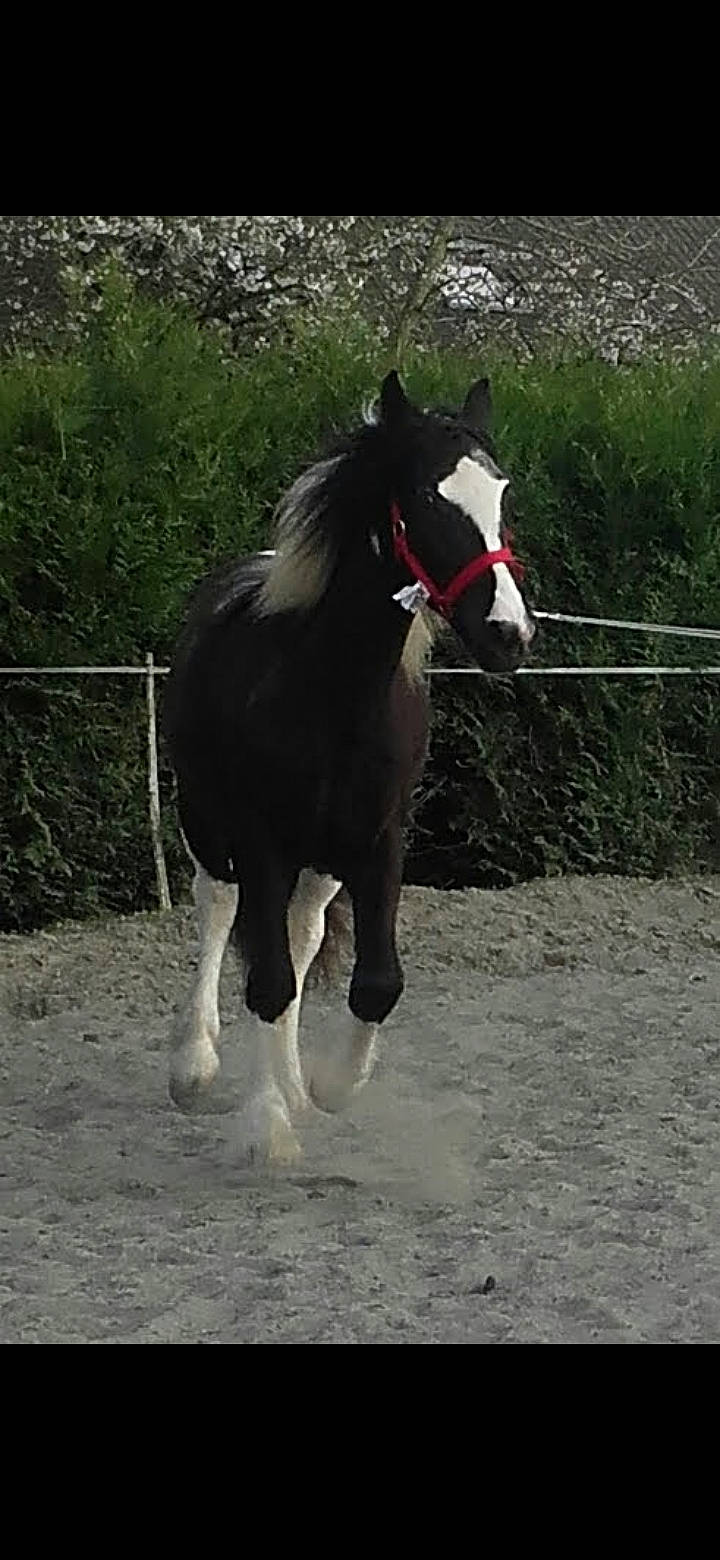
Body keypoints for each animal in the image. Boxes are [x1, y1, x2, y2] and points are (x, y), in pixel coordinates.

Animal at [163, 369, 535, 1163]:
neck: (328, 690)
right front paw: (268, 1128)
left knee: (302, 935)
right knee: (217, 908)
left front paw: (325, 1089)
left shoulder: (379, 840)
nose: (509, 634)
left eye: (501, 494)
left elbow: (374, 983)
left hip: (322, 858)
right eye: (427, 498)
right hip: (205, 820)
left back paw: (295, 1085)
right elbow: (268, 981)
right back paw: (197, 1066)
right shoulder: (259, 838)